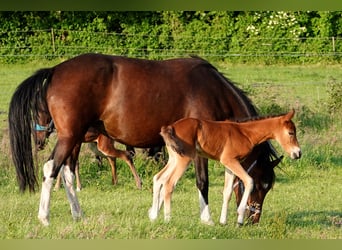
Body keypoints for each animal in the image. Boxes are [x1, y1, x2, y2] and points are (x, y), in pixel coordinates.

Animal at [9, 53, 282, 226]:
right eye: (263, 185)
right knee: (50, 169)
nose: (253, 219)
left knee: (66, 173)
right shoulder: (198, 149)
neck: (213, 90)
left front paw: (157, 212)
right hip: (69, 137)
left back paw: (79, 215)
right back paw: (44, 217)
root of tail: (56, 70)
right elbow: (202, 182)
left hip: (75, 139)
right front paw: (207, 219)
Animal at [148, 109, 300, 227]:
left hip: (174, 158)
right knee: (169, 183)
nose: (298, 153)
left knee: (158, 178)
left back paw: (154, 216)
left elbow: (227, 191)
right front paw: (239, 220)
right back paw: (168, 219)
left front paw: (223, 221)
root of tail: (170, 127)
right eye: (291, 133)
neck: (245, 133)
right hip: (184, 159)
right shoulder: (230, 160)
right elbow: (249, 181)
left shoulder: (229, 165)